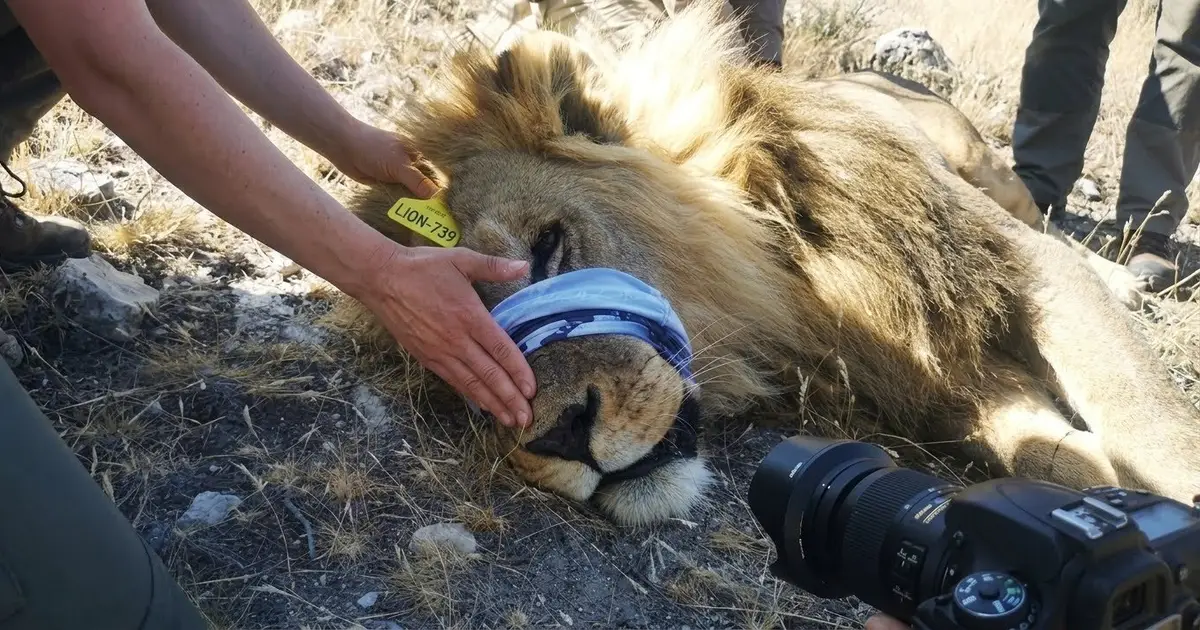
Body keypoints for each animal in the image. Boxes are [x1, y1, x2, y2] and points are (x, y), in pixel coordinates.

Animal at [340, 0, 1200, 526]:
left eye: (550, 247)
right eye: (451, 358)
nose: (560, 437)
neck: (800, 288)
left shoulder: (1018, 269)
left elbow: (1147, 418)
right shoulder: (944, 390)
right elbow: (1051, 457)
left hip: (985, 169)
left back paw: (1133, 275)